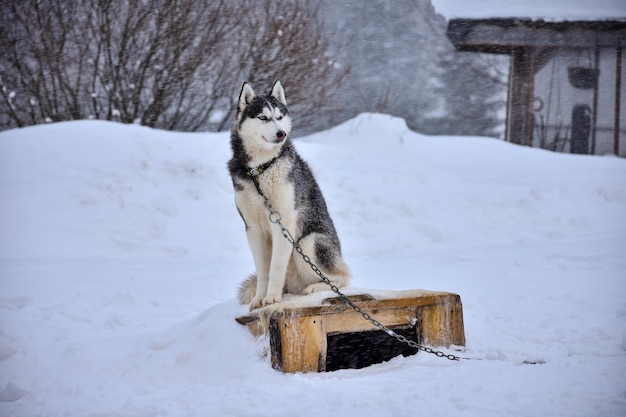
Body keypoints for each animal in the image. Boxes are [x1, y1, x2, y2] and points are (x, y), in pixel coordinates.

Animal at [228, 81, 348, 308]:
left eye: (280, 117)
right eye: (263, 117)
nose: (281, 133)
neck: (260, 170)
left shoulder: (282, 222)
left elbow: (276, 267)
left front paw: (272, 298)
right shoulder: (253, 229)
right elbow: (263, 271)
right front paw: (260, 298)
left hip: (309, 242)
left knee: (343, 278)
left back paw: (315, 287)